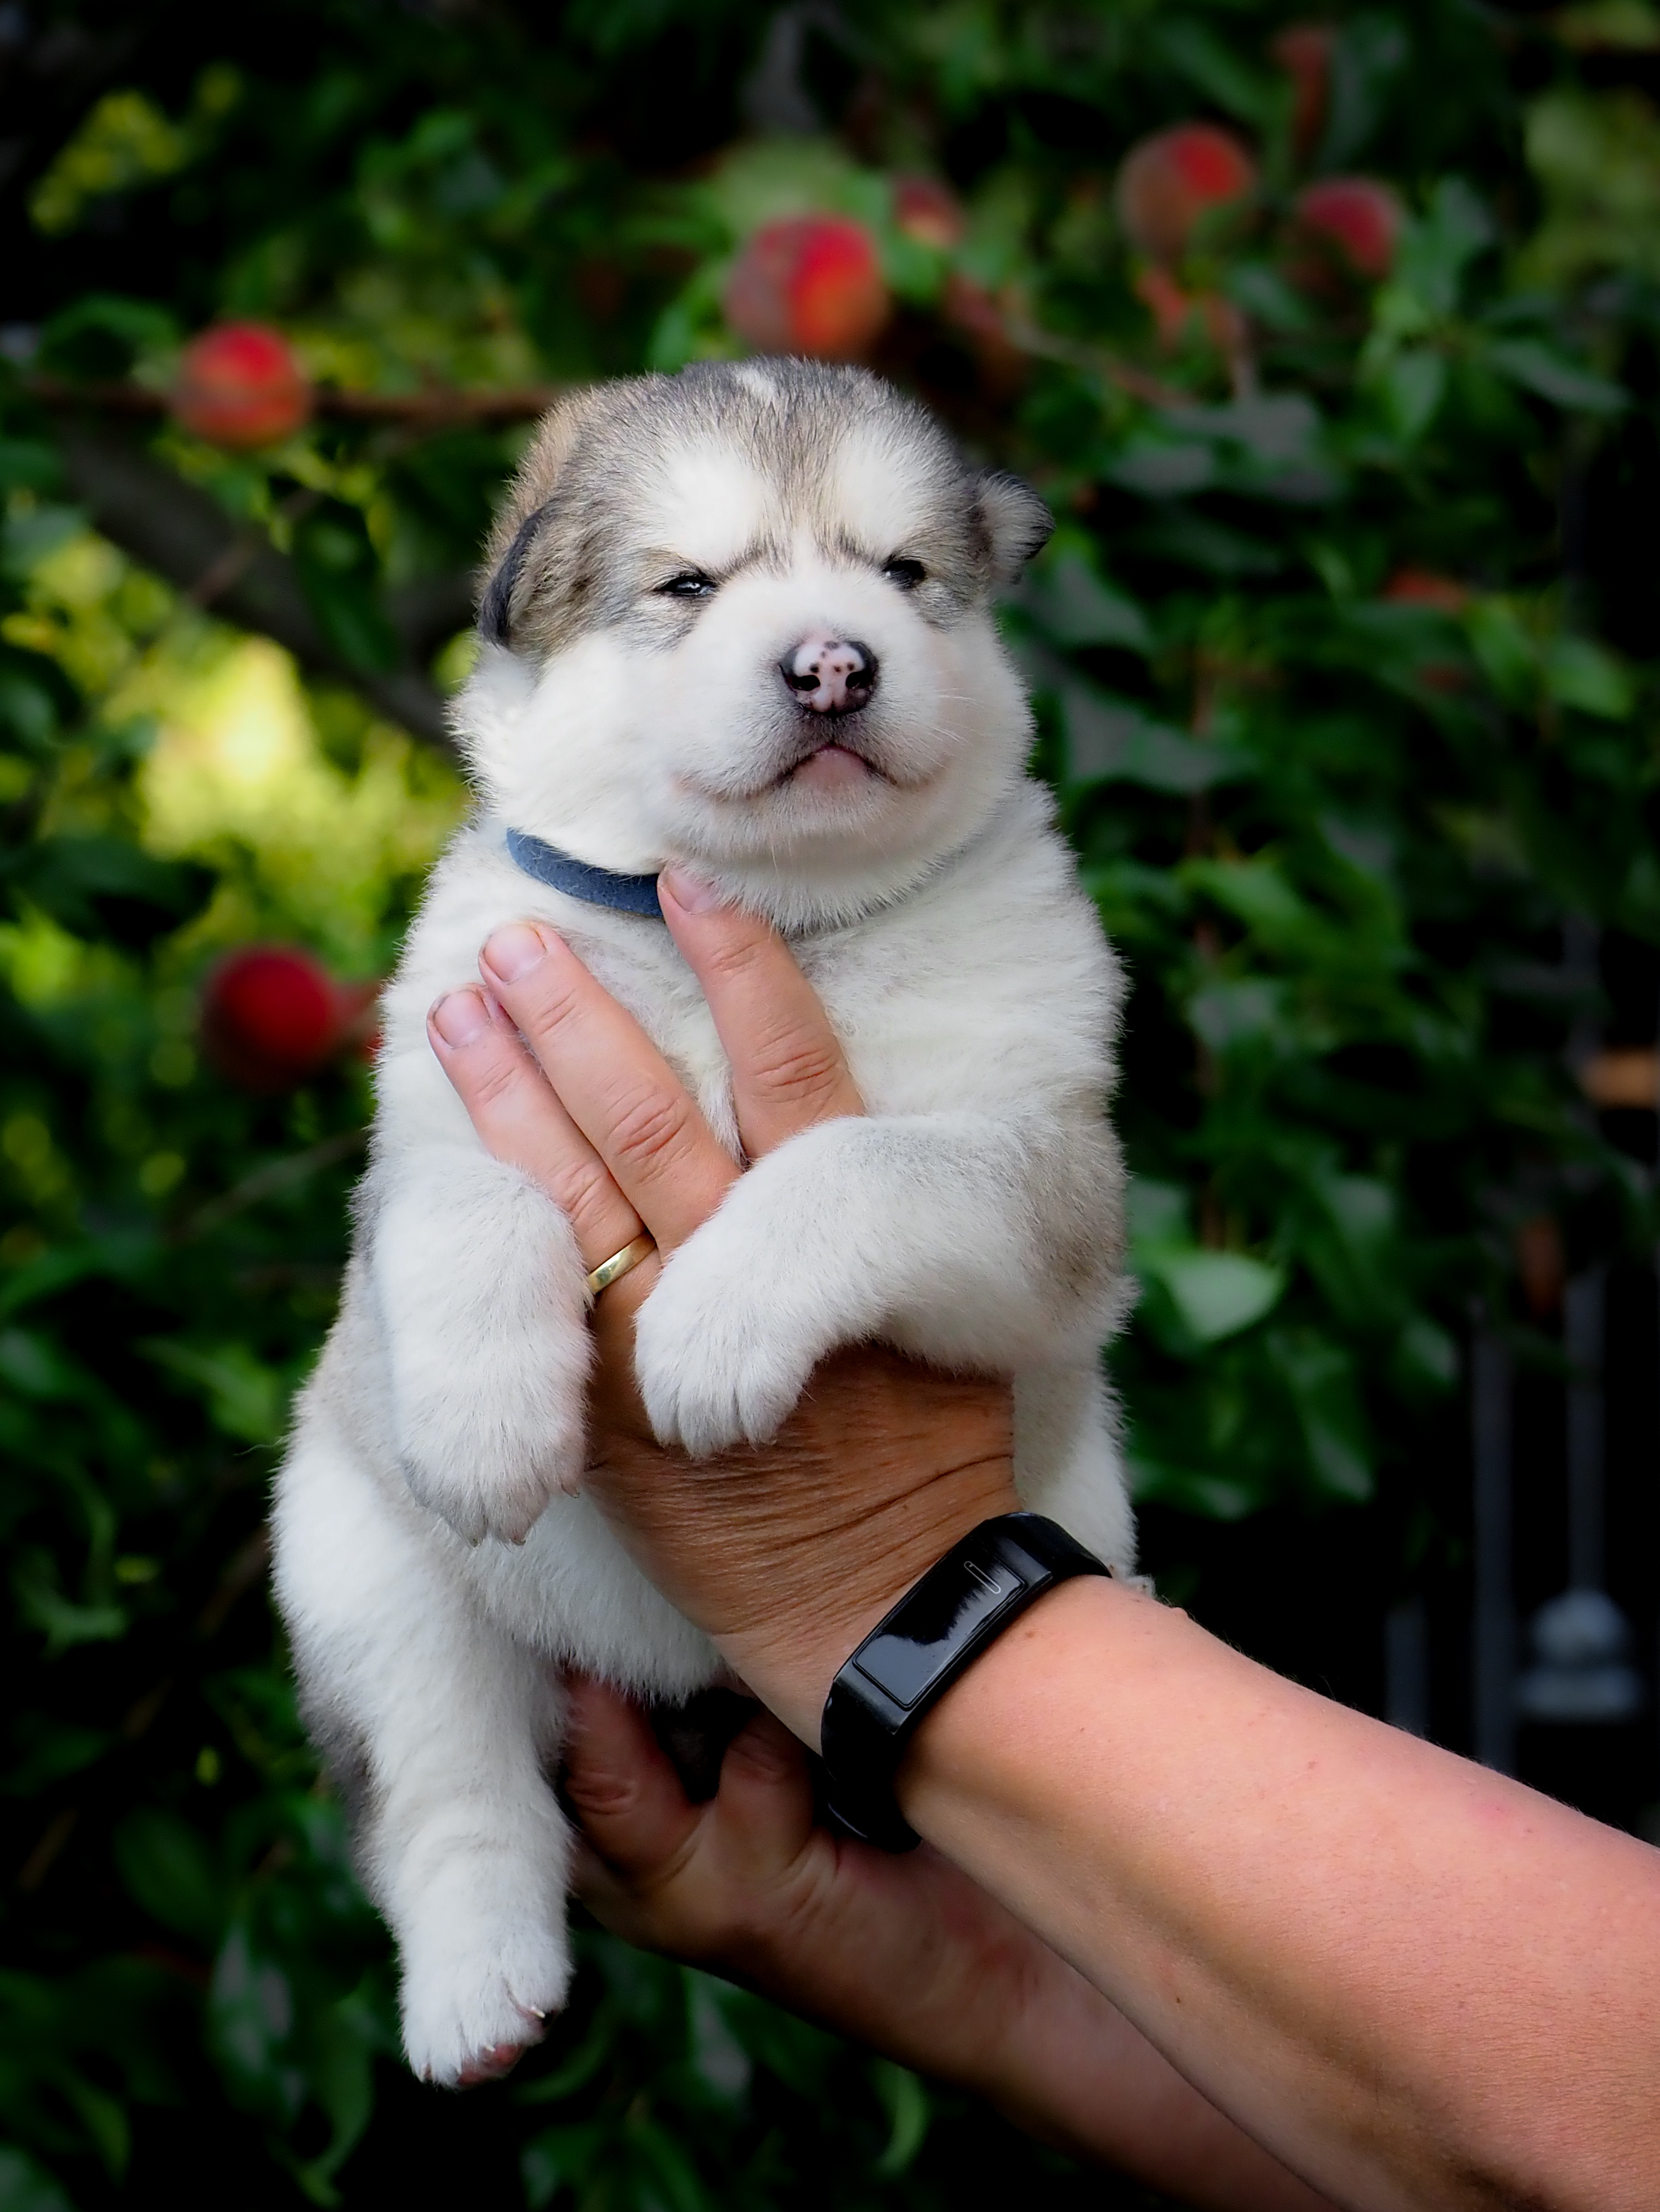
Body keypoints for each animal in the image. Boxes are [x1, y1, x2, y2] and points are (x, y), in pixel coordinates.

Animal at [272, 358, 1136, 2086]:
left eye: (902, 574)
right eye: (687, 586)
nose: (832, 664)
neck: (768, 917)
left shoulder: (1044, 1170)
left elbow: (857, 1162)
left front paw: (711, 1327)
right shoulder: (450, 1074)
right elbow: (466, 1197)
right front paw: (486, 1416)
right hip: (355, 1561)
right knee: (446, 1791)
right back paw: (477, 1989)